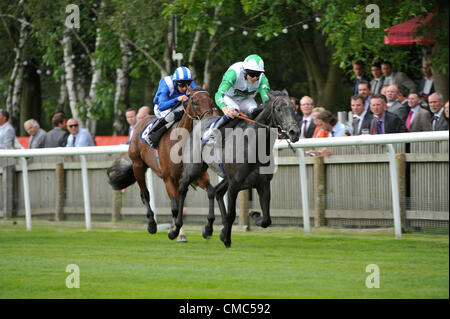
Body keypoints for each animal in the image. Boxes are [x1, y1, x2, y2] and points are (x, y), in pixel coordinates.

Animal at [107, 87, 216, 240]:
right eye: (195, 102)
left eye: (211, 101)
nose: (209, 120)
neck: (180, 141)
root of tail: (140, 122)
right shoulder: (169, 179)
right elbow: (175, 207)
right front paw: (173, 232)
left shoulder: (197, 176)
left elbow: (211, 192)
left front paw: (207, 229)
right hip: (138, 166)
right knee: (145, 194)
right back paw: (152, 225)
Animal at [171, 90, 300, 248]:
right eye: (279, 109)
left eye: (293, 108)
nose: (294, 132)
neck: (253, 146)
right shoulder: (234, 184)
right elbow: (231, 214)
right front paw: (227, 239)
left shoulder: (263, 184)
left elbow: (267, 220)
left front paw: (254, 215)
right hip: (194, 169)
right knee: (183, 187)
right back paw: (176, 229)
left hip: (223, 177)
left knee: (217, 191)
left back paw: (209, 229)